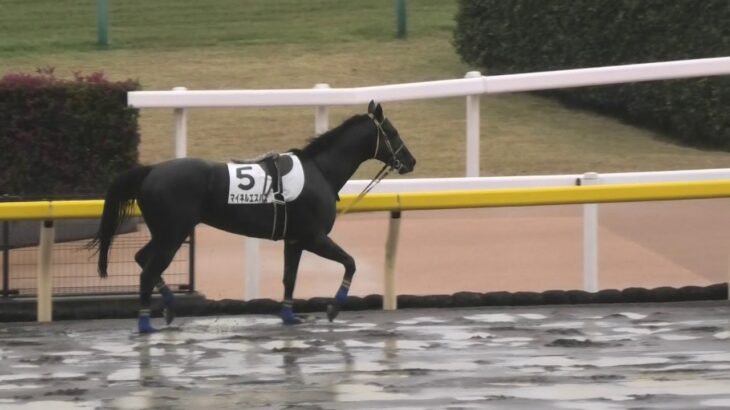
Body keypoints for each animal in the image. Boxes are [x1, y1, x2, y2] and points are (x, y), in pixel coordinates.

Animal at [89, 101, 416, 334]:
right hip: (172, 233)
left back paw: (168, 305)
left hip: (166, 232)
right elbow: (350, 262)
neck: (320, 172)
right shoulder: (314, 237)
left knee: (143, 260)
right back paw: (146, 323)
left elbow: (289, 277)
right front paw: (334, 308)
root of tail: (151, 171)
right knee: (147, 270)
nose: (410, 160)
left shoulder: (294, 240)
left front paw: (289, 315)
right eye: (393, 131)